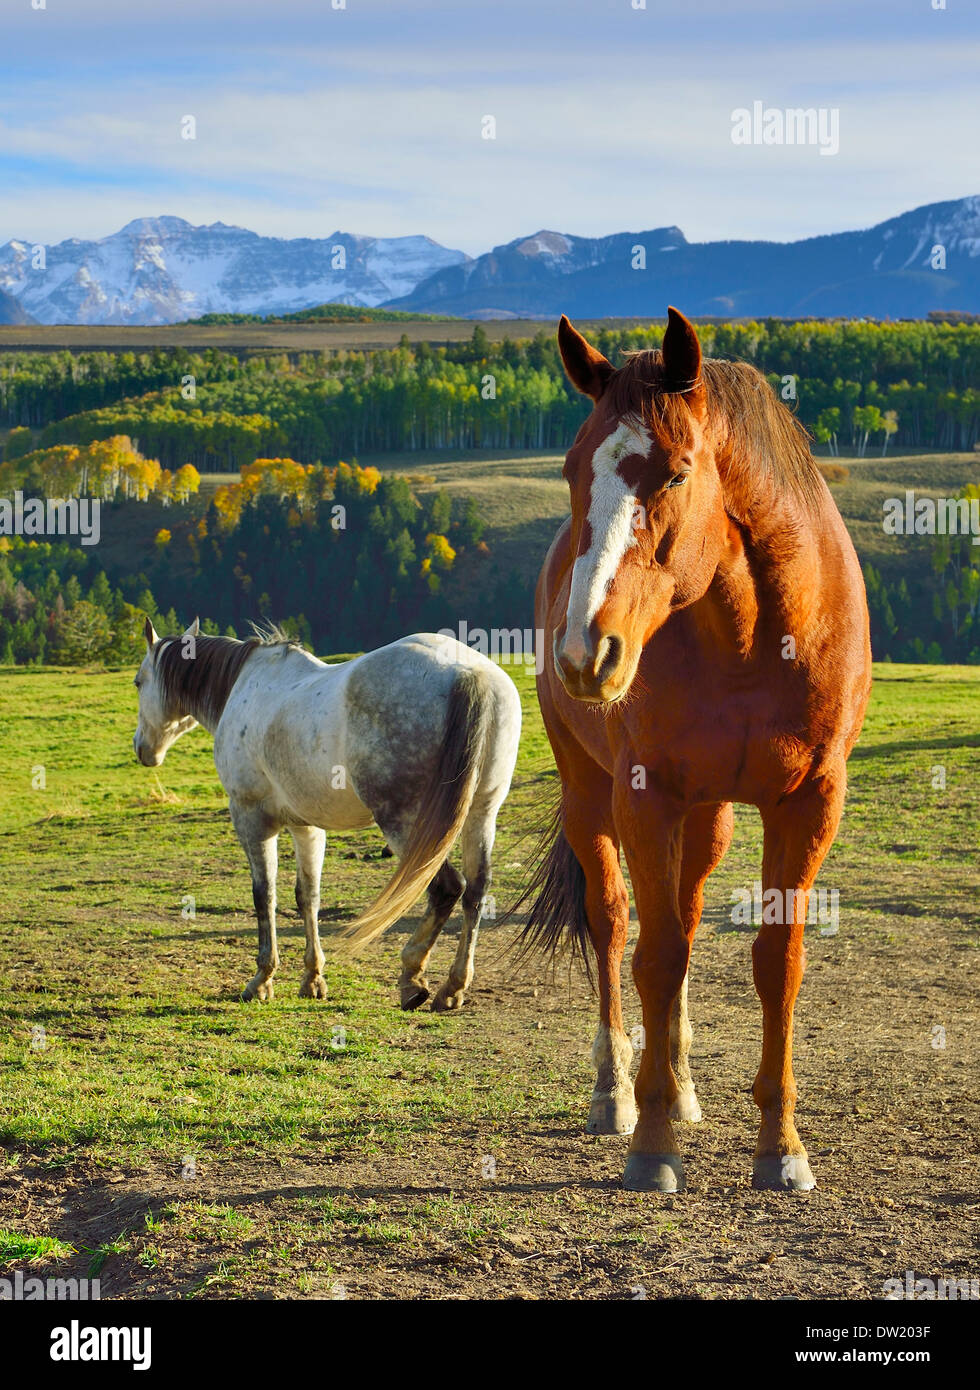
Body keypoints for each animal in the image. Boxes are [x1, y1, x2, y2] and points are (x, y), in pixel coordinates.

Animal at [132, 620, 522, 1011]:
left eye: (138, 682)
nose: (142, 749)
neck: (246, 684)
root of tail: (467, 671)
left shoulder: (251, 819)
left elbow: (264, 895)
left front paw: (261, 979)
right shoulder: (306, 827)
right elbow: (308, 896)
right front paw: (312, 978)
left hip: (407, 823)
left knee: (446, 888)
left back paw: (412, 977)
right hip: (481, 813)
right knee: (475, 891)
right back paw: (453, 987)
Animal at [523, 307, 871, 1192]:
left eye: (676, 476)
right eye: (572, 472)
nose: (586, 653)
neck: (753, 636)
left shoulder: (810, 802)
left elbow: (776, 963)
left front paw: (780, 1147)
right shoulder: (646, 796)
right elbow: (656, 955)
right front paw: (650, 1145)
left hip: (710, 814)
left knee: (682, 904)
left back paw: (679, 1084)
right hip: (592, 796)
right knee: (615, 923)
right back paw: (617, 1091)